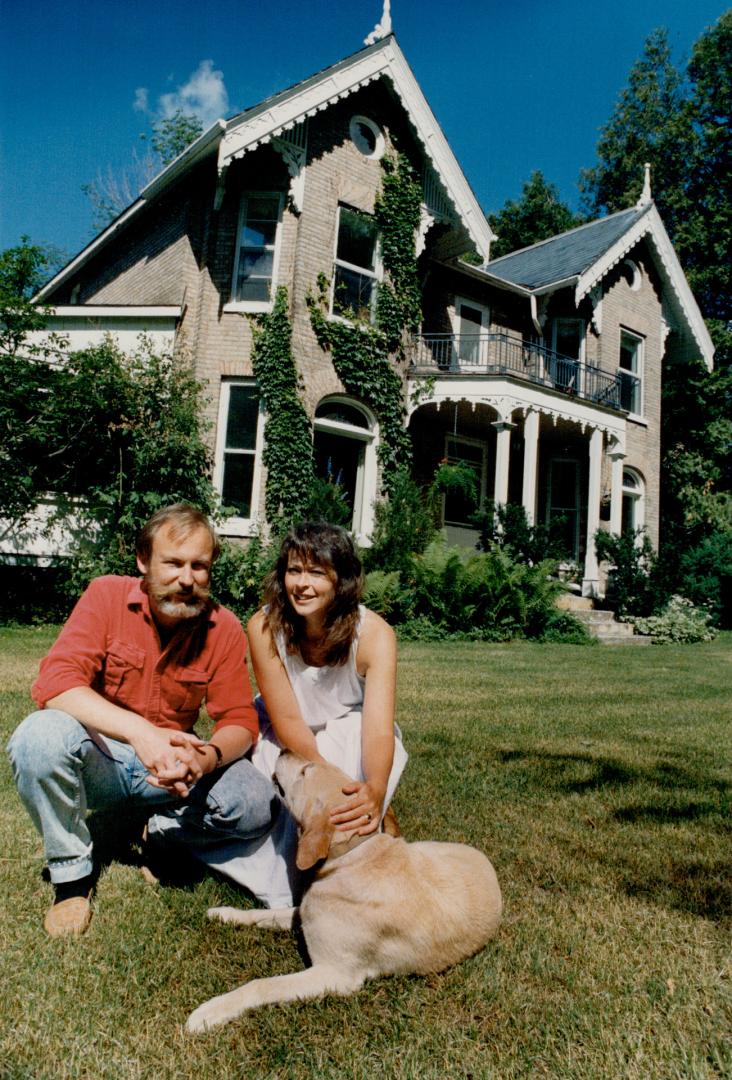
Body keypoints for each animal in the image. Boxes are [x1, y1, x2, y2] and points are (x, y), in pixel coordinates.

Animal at [186, 751, 500, 1028]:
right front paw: (225, 914)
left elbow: (262, 985)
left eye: (306, 771)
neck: (351, 858)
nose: (285, 749)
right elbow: (260, 915)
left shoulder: (333, 974)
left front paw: (211, 1011)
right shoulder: (305, 913)